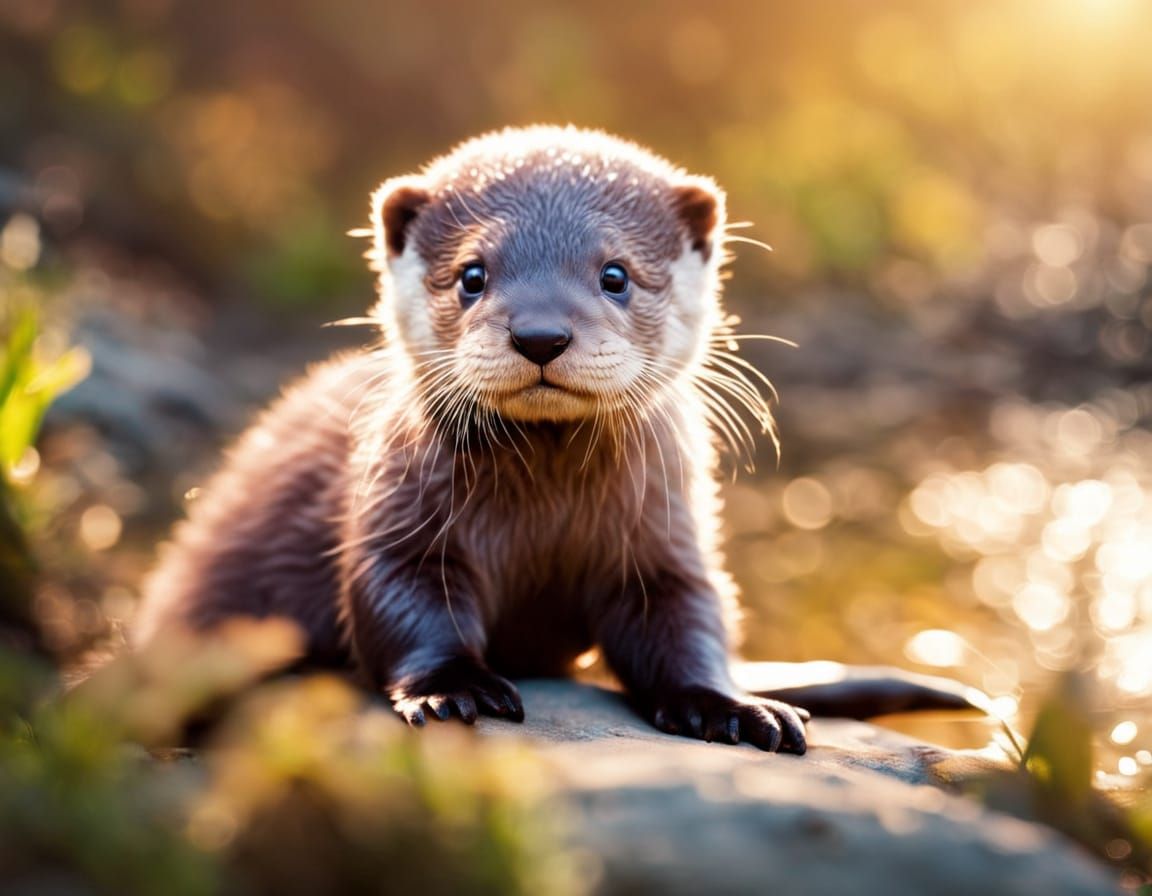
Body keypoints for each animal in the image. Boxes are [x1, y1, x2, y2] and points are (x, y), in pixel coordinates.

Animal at [134, 127, 967, 753]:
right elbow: (396, 599)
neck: (543, 522)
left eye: (616, 274)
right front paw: (452, 689)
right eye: (471, 274)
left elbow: (688, 621)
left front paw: (733, 705)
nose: (540, 334)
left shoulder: (665, 540)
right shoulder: (396, 513)